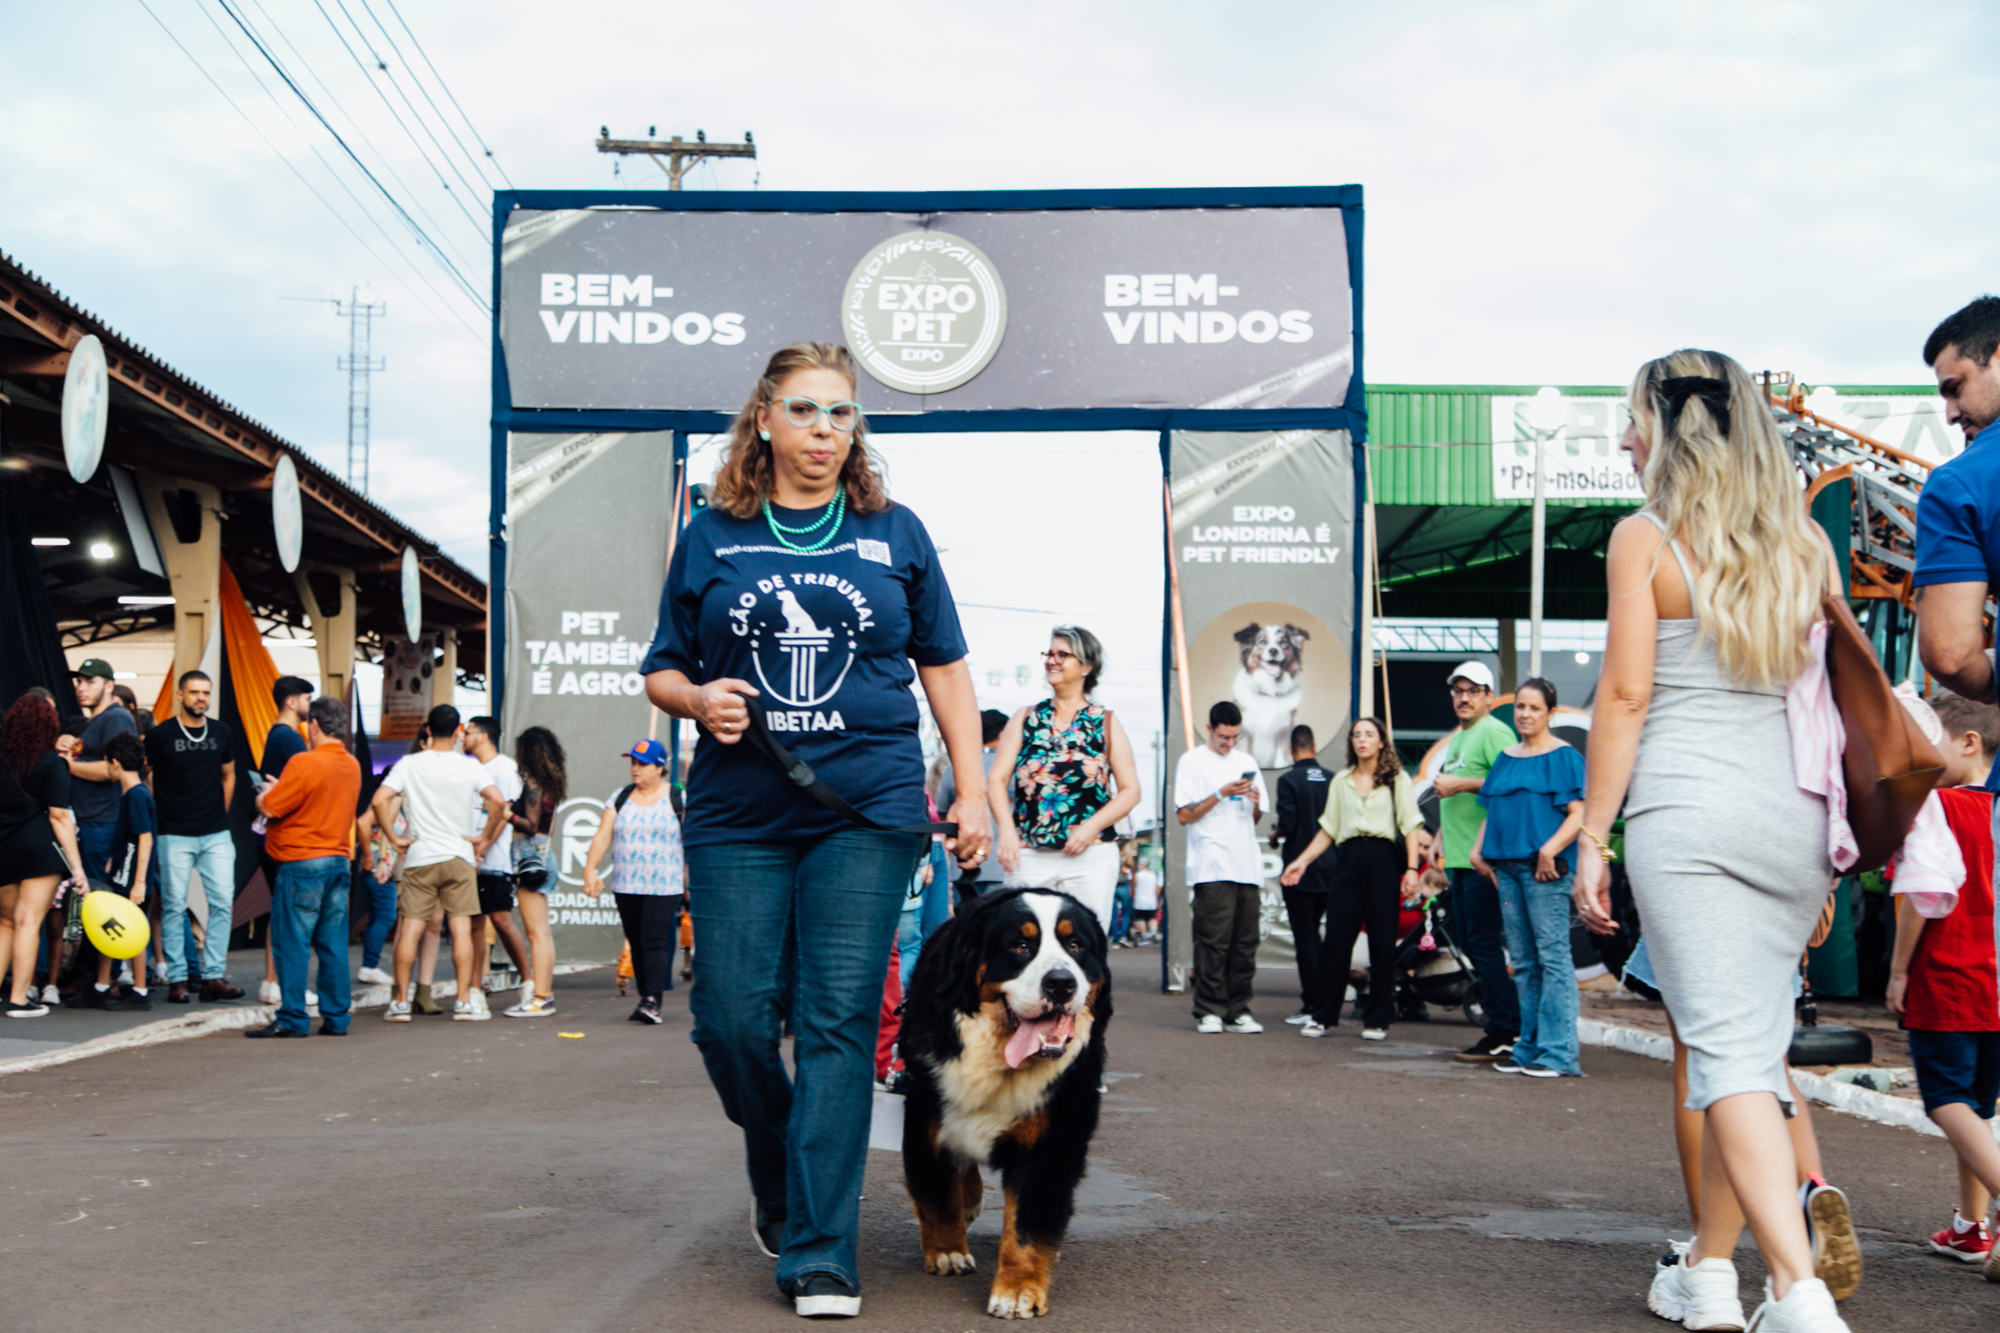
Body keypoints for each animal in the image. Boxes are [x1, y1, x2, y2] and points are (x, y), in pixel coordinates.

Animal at [896, 888, 1112, 1312]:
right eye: (1021, 946)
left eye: (1075, 945)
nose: (1060, 983)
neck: (1003, 1064)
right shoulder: (927, 1118)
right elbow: (938, 1195)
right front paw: (947, 1251)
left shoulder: (1052, 1140)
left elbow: (1028, 1226)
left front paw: (1017, 1290)